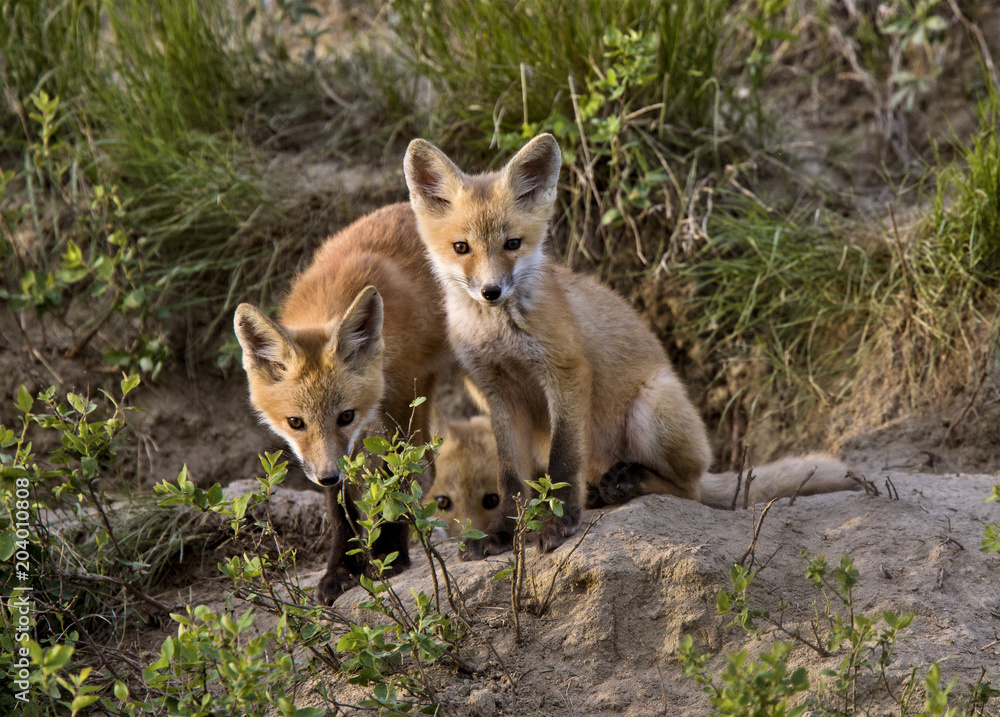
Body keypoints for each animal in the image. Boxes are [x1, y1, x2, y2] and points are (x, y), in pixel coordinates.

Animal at [233, 203, 451, 604]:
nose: (327, 475)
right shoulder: (334, 454)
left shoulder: (401, 403)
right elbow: (340, 507)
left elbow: (398, 476)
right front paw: (342, 569)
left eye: (346, 416)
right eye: (295, 423)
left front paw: (388, 552)